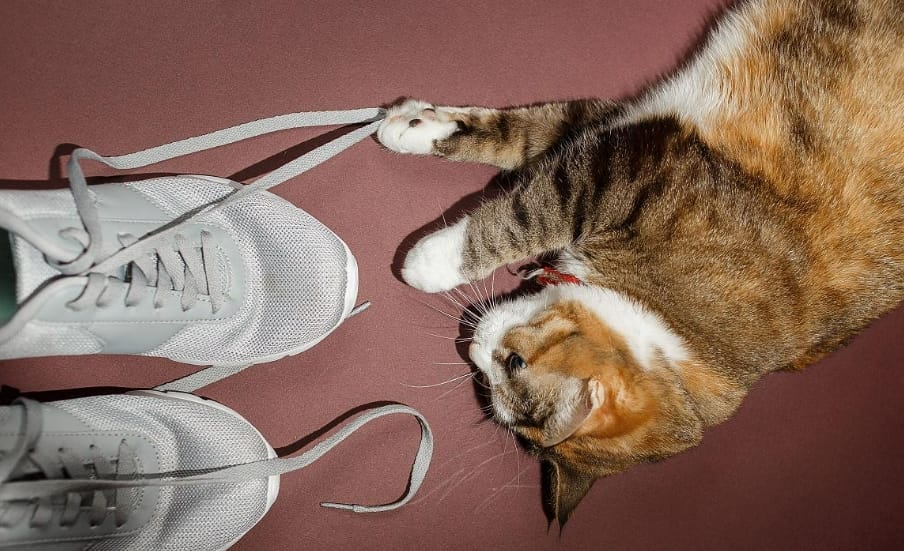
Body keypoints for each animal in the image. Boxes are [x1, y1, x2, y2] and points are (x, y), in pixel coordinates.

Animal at [376, 0, 904, 528]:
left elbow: (532, 207)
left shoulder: (621, 164)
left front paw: (428, 263)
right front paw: (409, 128)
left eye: (511, 364)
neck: (668, 316)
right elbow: (527, 143)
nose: (471, 348)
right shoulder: (629, 151)